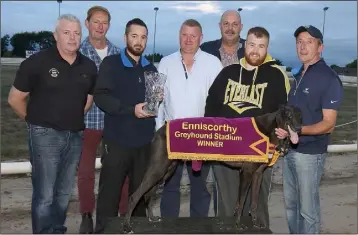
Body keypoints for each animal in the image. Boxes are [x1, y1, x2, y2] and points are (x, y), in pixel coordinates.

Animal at [123, 105, 302, 233]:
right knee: (134, 196)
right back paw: (126, 226)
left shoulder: (258, 174)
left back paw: (152, 219)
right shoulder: (246, 173)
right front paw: (238, 225)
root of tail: (159, 130)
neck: (268, 129)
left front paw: (256, 223)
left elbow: (253, 203)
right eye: (289, 115)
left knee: (148, 194)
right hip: (158, 168)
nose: (299, 128)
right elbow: (240, 202)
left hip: (166, 170)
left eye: (300, 115)